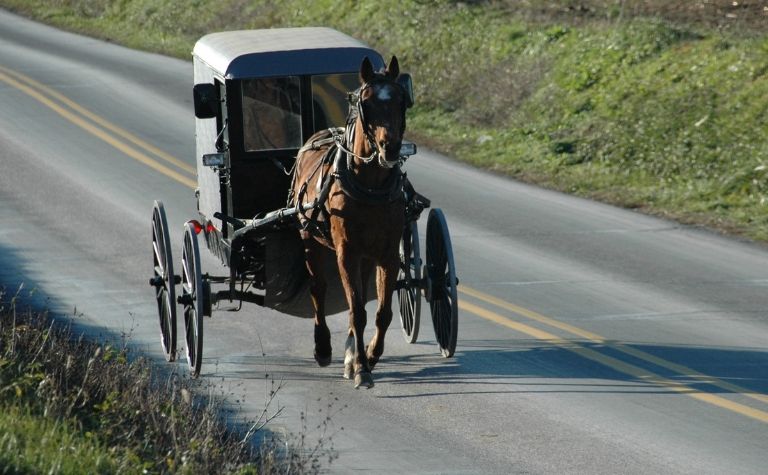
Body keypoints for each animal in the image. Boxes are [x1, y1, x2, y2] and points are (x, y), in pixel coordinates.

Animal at [290, 56, 408, 390]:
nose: (391, 148)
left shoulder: (387, 254)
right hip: (309, 237)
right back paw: (324, 348)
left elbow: (381, 312)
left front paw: (369, 355)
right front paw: (362, 369)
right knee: (318, 288)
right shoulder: (346, 252)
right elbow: (356, 312)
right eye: (366, 102)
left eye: (402, 100)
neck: (370, 186)